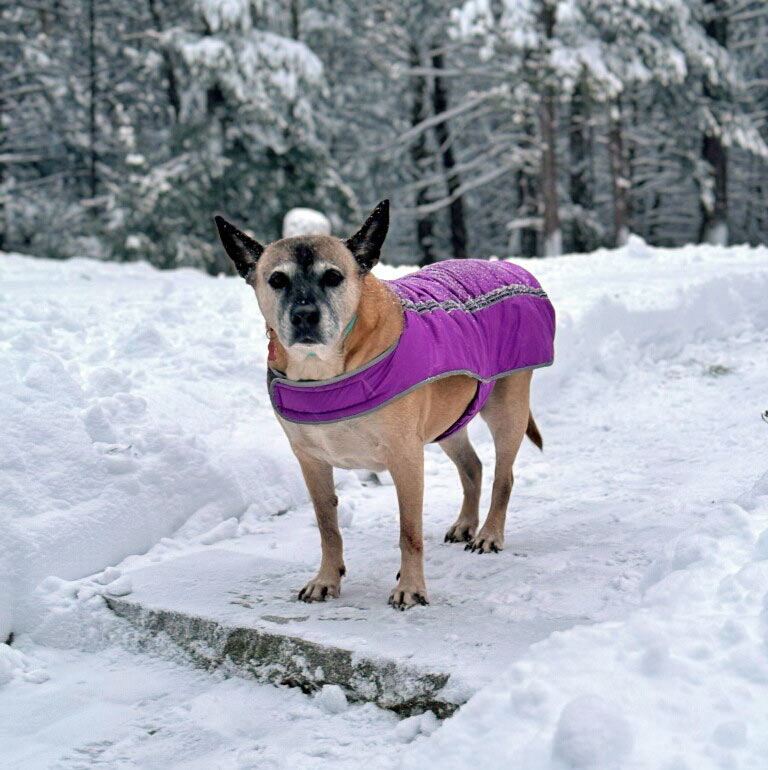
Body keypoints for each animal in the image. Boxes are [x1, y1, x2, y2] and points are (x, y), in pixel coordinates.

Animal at [213, 201, 556, 608]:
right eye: (277, 280)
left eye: (333, 277)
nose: (304, 315)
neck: (326, 369)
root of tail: (508, 266)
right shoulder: (311, 460)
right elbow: (327, 527)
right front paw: (326, 579)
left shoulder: (405, 456)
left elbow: (409, 531)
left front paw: (410, 587)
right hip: (450, 419)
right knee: (472, 467)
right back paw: (465, 524)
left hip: (506, 407)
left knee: (504, 476)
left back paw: (488, 533)